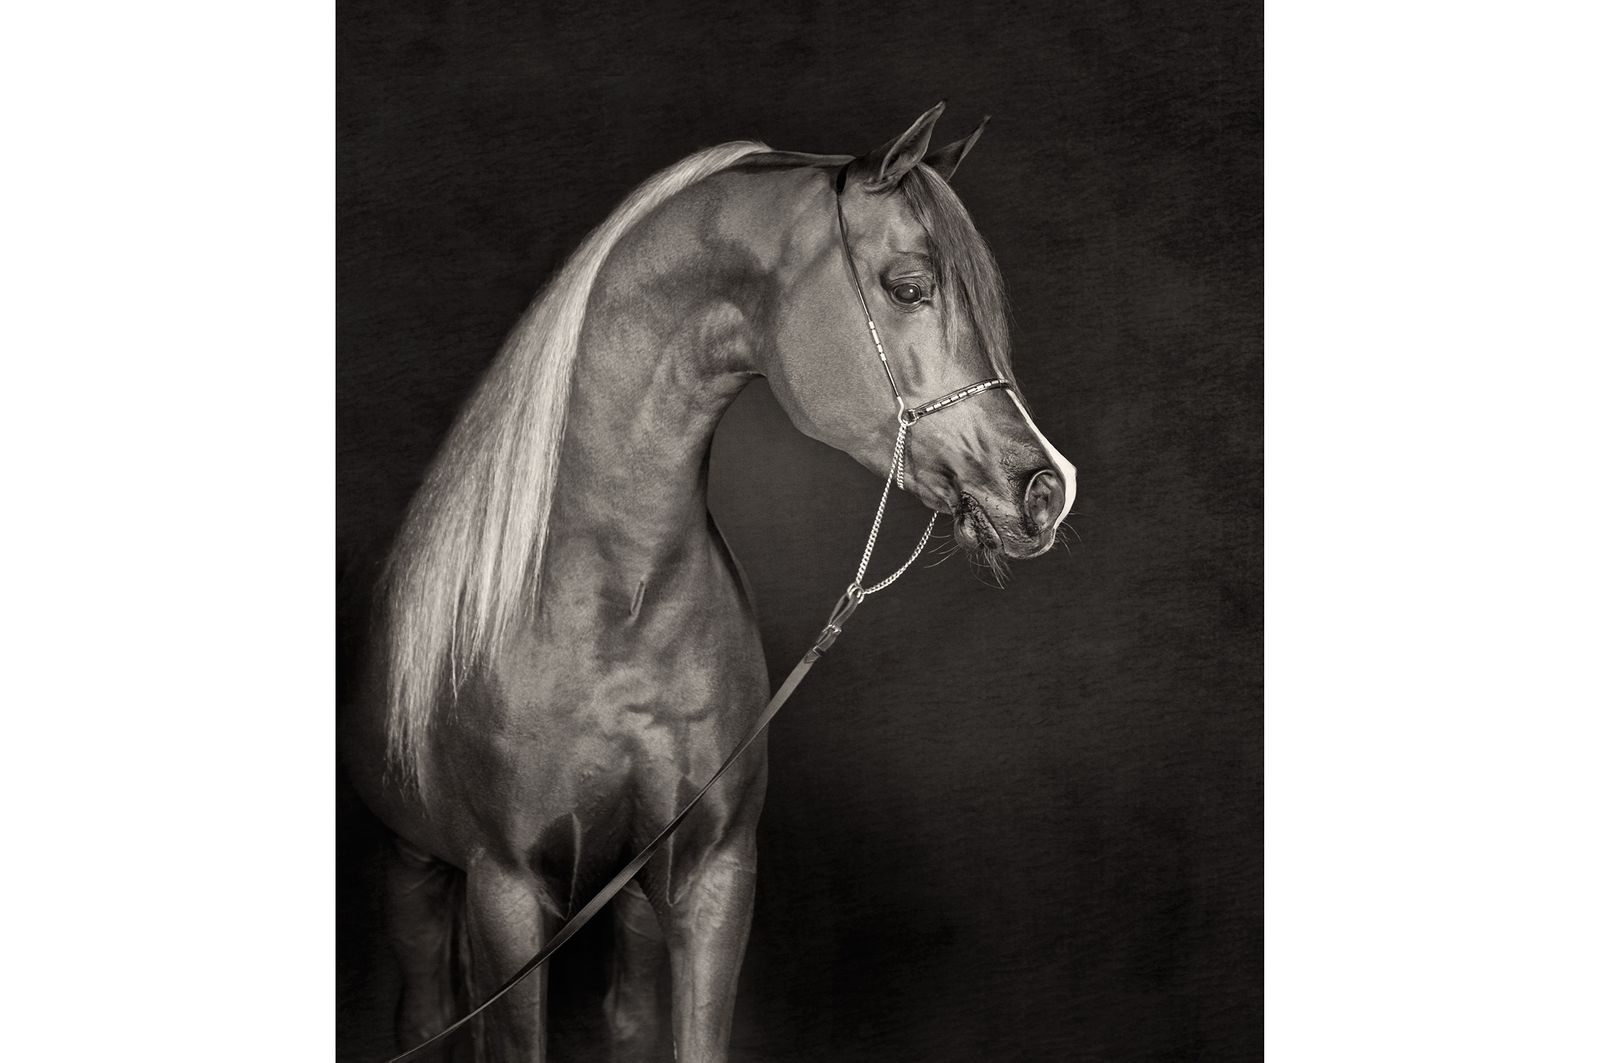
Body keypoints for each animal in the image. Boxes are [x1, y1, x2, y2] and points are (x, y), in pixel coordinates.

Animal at [343, 102, 1077, 1063]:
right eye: (910, 286)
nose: (1047, 489)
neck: (617, 600)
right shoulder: (506, 890)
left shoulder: (710, 874)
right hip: (417, 869)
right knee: (426, 1012)